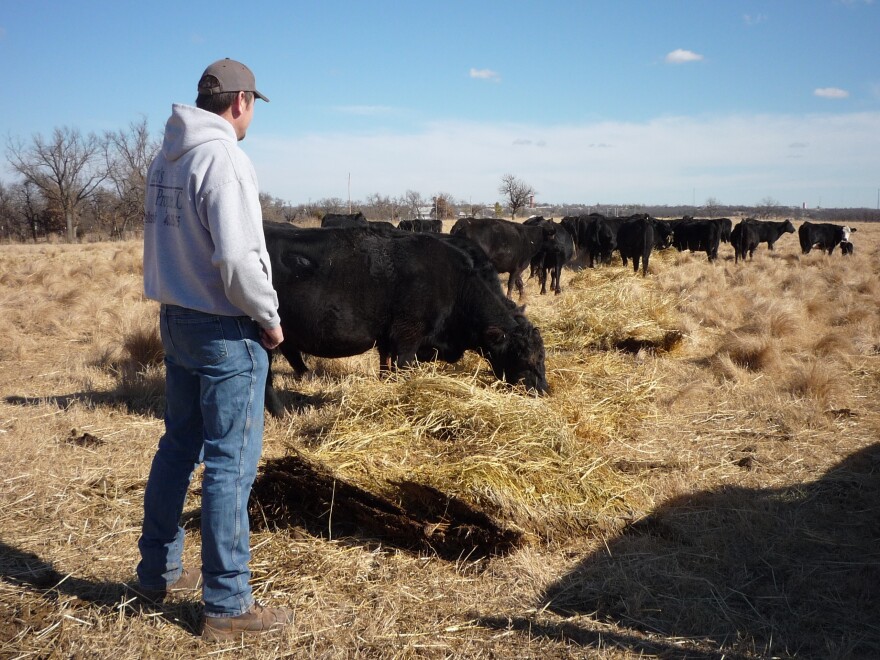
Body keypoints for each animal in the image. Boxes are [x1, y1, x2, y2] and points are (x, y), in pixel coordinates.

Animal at [262, 222, 548, 417]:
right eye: (525, 358)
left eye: (542, 357)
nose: (544, 392)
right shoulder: (408, 337)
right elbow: (403, 370)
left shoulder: (388, 339)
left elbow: (385, 368)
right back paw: (282, 413)